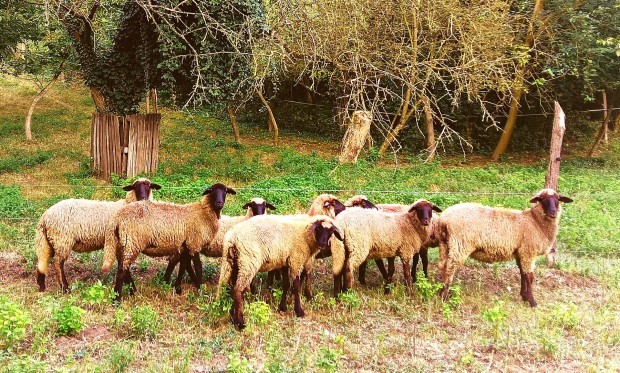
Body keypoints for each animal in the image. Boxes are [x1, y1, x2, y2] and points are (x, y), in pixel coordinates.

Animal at [101, 182, 237, 298]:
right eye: (212, 191)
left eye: (225, 191)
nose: (219, 203)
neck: (203, 213)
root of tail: (117, 217)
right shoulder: (194, 242)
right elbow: (198, 267)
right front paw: (199, 290)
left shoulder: (185, 245)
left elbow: (183, 266)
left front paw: (178, 288)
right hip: (133, 241)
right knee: (122, 270)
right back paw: (117, 299)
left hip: (123, 242)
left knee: (123, 266)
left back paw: (131, 291)